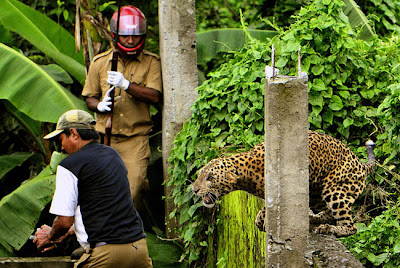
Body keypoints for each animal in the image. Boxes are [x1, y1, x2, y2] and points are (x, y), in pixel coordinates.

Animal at [191, 130, 376, 237]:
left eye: (210, 178)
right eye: (199, 175)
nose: (194, 189)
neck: (246, 174)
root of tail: (361, 164)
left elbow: (268, 210)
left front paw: (263, 221)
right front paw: (260, 220)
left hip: (334, 190)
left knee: (351, 226)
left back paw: (330, 229)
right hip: (316, 191)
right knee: (328, 212)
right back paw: (314, 218)